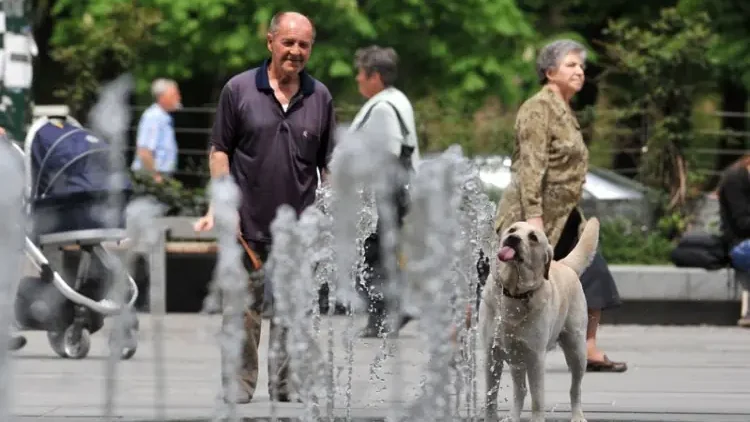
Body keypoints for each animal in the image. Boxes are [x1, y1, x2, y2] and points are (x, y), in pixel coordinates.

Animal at [482, 218, 600, 422]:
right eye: (512, 230)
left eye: (533, 237)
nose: (513, 239)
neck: (514, 294)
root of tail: (564, 264)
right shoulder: (492, 355)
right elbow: (491, 395)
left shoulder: (535, 357)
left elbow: (537, 398)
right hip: (516, 359)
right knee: (520, 391)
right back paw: (513, 417)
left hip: (577, 350)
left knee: (575, 389)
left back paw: (577, 415)